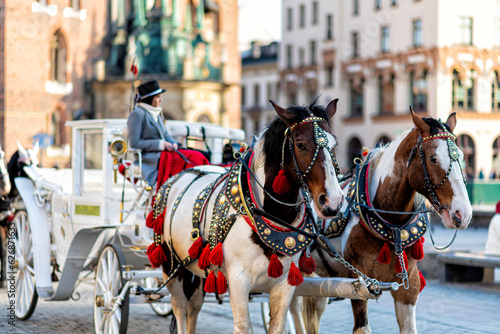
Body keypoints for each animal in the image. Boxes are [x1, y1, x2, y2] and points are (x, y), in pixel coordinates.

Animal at [150, 100, 346, 334]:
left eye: (334, 144)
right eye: (300, 144)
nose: (333, 201)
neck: (273, 217)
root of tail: (184, 173)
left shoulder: (285, 285)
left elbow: (277, 327)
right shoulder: (238, 282)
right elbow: (244, 327)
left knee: (194, 306)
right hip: (171, 266)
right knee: (179, 308)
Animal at [294, 111, 474, 334]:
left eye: (462, 156)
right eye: (433, 158)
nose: (463, 213)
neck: (392, 226)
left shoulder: (409, 286)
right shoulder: (359, 285)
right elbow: (362, 327)